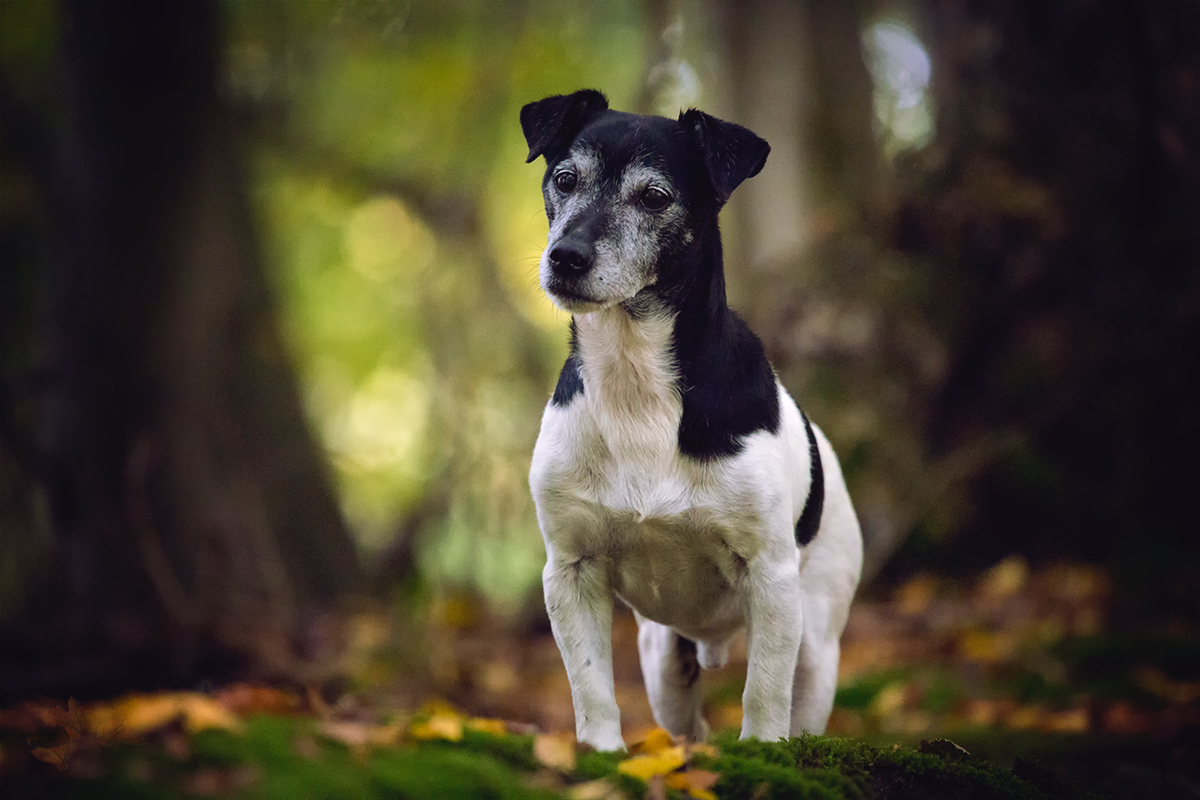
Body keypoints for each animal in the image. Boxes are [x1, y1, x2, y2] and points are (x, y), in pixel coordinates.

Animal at [525, 90, 864, 753]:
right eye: (565, 179)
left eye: (655, 196)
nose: (565, 257)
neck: (635, 385)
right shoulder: (571, 572)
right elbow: (590, 687)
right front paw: (602, 756)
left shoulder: (772, 577)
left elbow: (764, 694)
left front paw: (761, 754)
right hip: (663, 662)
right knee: (689, 723)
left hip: (816, 639)